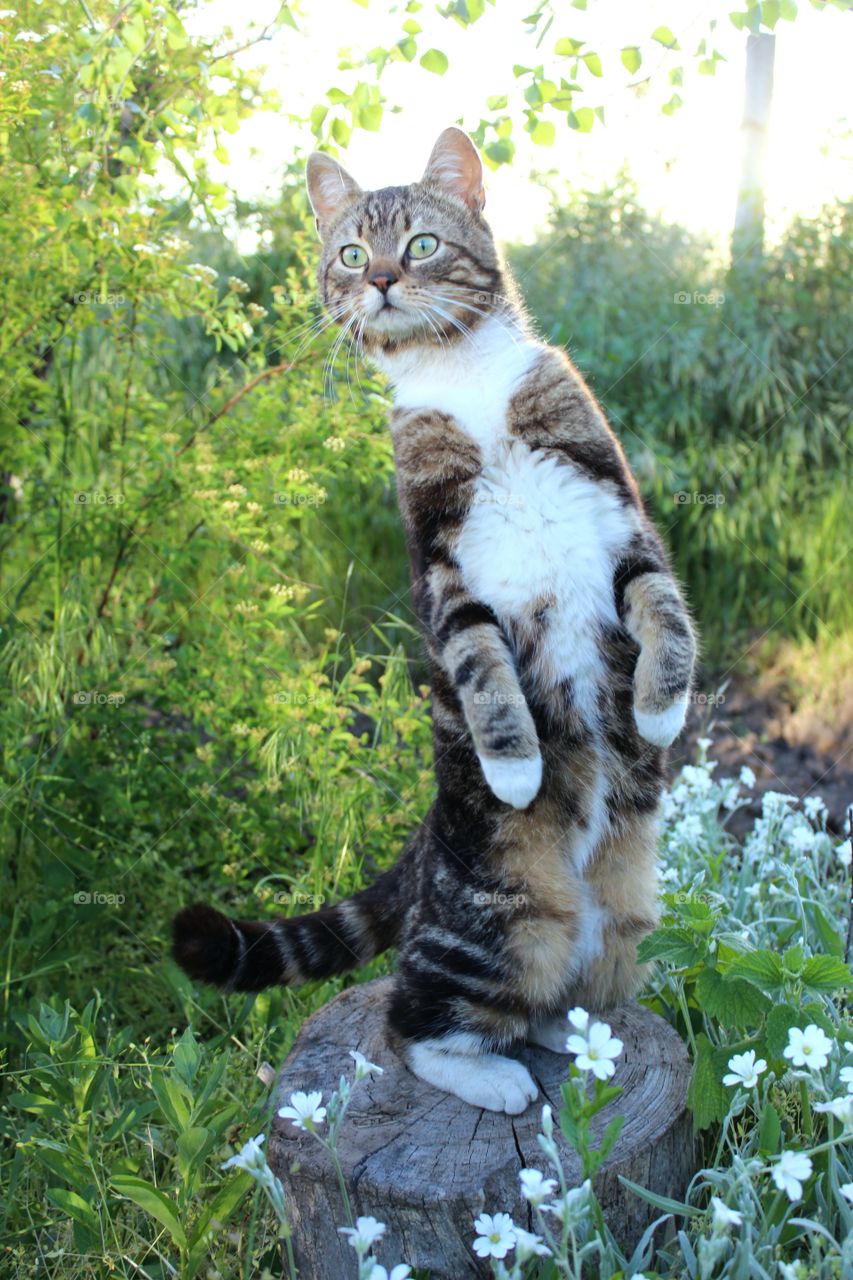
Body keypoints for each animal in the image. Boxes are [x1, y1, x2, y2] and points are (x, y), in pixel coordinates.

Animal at [171, 124, 691, 1116]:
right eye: (348, 253)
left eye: (418, 244)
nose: (378, 279)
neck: (467, 380)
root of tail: (420, 841)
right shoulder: (442, 573)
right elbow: (483, 671)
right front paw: (517, 768)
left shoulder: (621, 523)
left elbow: (664, 609)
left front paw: (658, 710)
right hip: (497, 925)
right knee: (411, 1022)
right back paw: (492, 1077)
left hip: (618, 921)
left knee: (549, 996)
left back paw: (577, 1036)